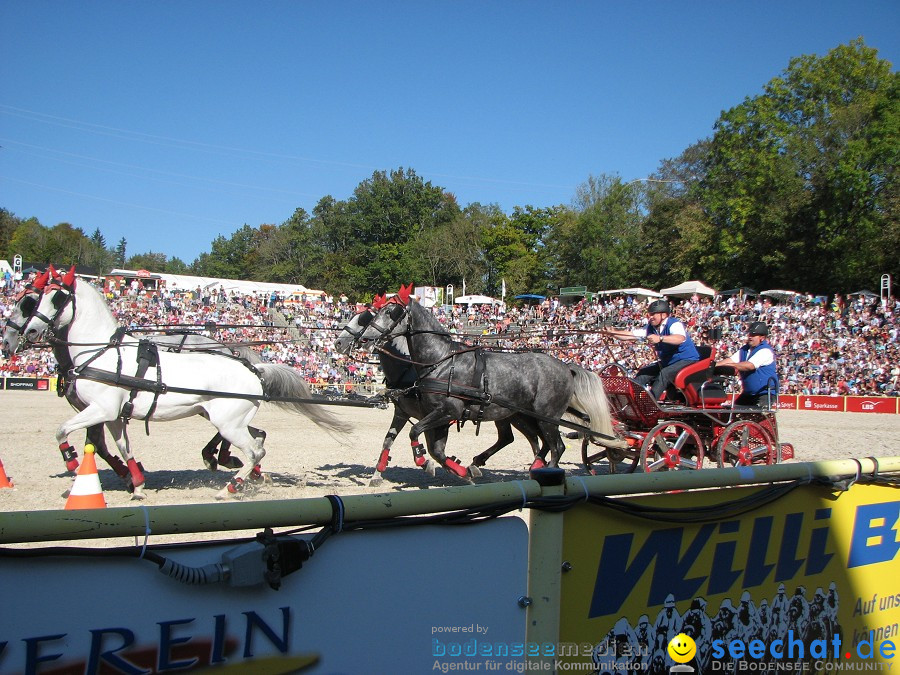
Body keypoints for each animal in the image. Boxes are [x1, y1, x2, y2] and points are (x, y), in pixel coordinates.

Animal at [20, 270, 352, 502]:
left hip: (228, 423)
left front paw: (73, 464)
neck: (102, 352)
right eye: (35, 299)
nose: (29, 332)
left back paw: (229, 488)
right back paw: (240, 475)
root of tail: (254, 369)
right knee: (257, 442)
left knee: (254, 451)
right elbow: (122, 447)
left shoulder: (100, 409)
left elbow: (62, 430)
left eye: (57, 298)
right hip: (228, 419)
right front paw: (136, 484)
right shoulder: (113, 414)